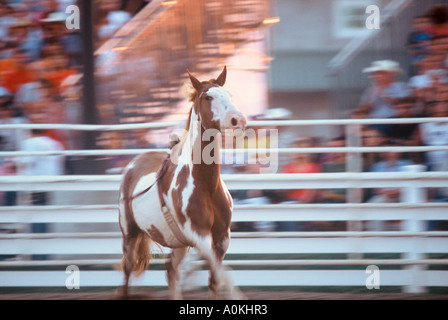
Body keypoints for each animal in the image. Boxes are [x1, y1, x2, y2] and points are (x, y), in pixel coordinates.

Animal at [117, 66, 247, 298]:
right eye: (208, 97)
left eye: (229, 95)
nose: (237, 120)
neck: (206, 184)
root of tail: (133, 163)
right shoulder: (199, 235)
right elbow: (225, 276)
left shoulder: (222, 238)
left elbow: (216, 280)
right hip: (130, 234)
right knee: (127, 271)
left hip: (178, 244)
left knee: (171, 271)